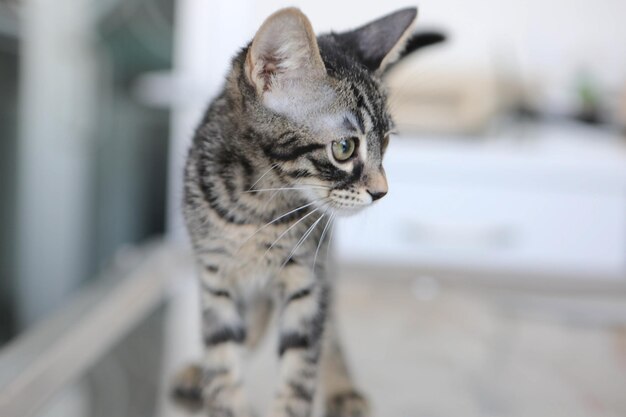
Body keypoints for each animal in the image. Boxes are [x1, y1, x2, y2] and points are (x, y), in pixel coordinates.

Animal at [173, 6, 442, 416]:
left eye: (385, 143)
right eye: (345, 148)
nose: (381, 192)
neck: (256, 206)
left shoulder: (307, 275)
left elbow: (301, 364)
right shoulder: (215, 276)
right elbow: (223, 357)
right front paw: (223, 396)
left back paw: (342, 386)